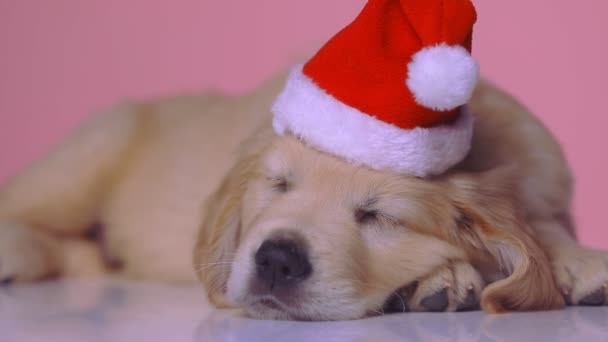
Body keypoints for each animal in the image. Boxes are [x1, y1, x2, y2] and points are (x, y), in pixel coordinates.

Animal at [0, 73, 604, 320]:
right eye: (279, 185)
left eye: (378, 216)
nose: (277, 260)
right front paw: (447, 276)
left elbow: (542, 223)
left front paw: (578, 261)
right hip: (91, 153)